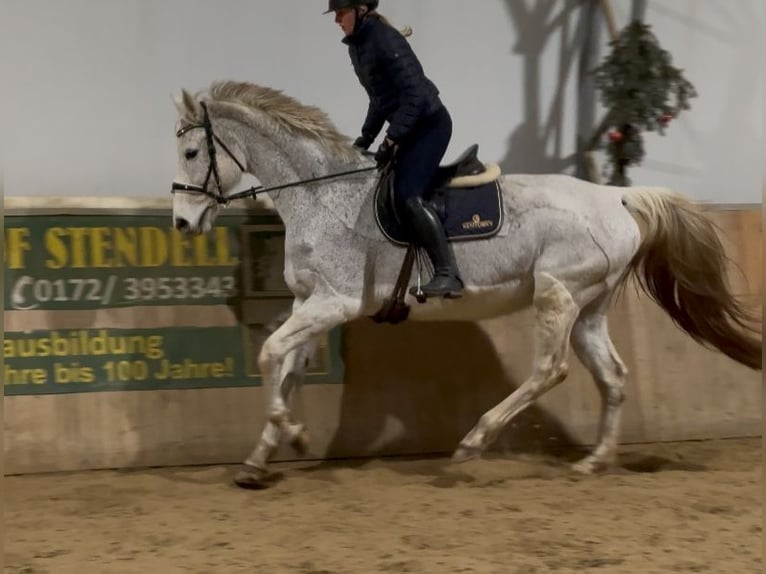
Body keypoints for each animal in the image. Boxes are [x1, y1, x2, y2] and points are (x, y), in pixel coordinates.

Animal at [170, 80, 761, 489]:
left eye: (192, 153)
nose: (180, 223)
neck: (321, 196)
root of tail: (616, 196)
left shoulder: (334, 302)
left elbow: (270, 354)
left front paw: (291, 434)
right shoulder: (308, 303)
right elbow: (286, 368)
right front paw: (258, 459)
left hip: (556, 293)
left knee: (549, 369)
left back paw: (474, 443)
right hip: (589, 307)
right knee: (612, 377)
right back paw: (594, 461)